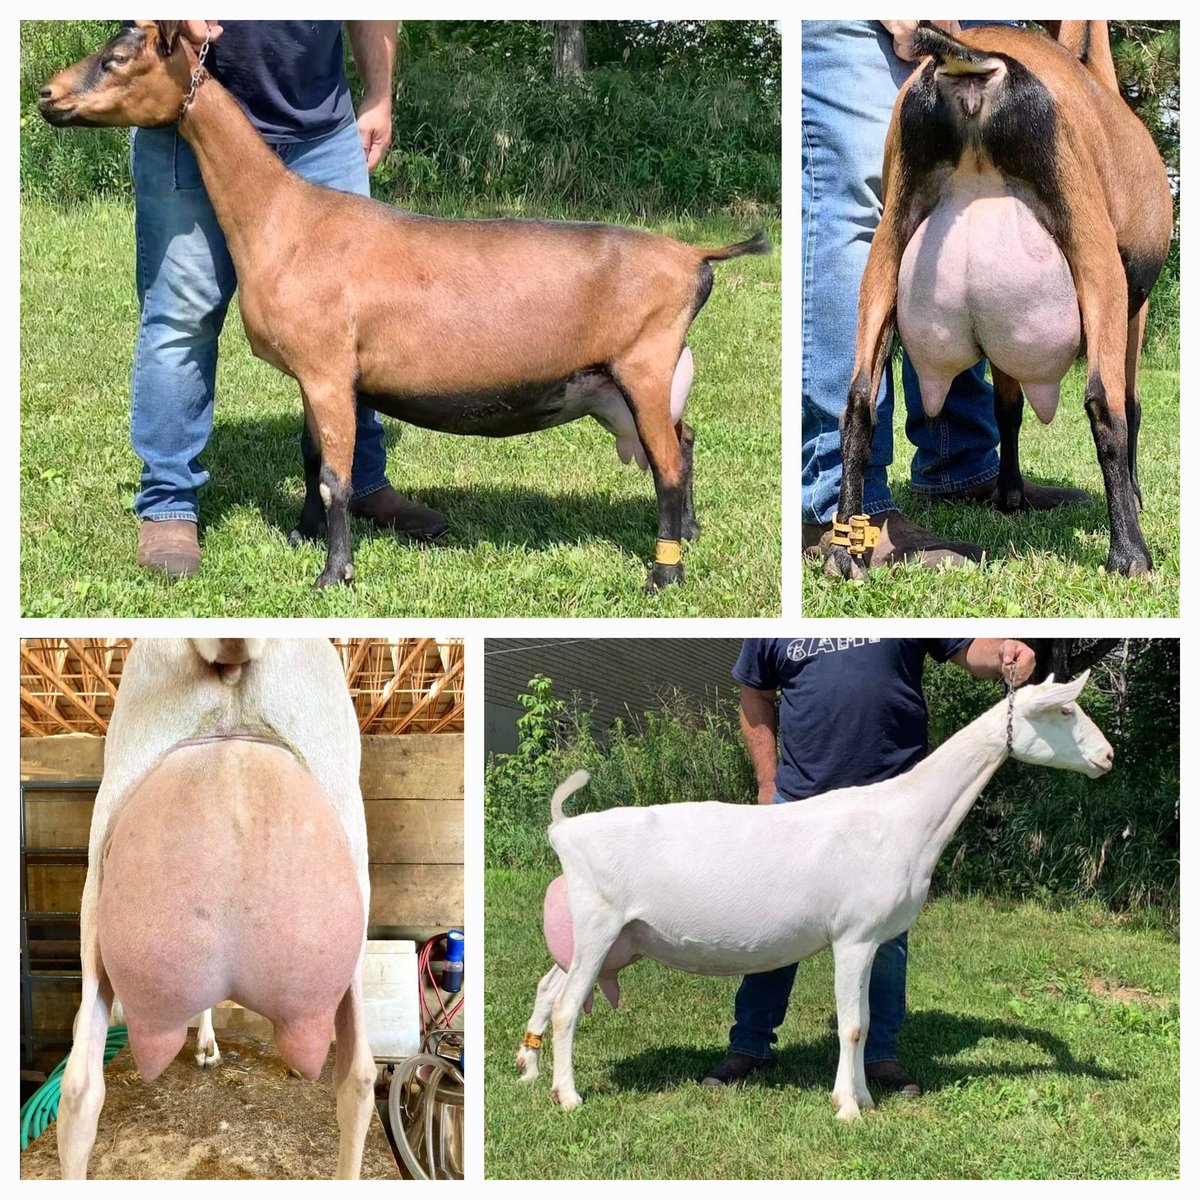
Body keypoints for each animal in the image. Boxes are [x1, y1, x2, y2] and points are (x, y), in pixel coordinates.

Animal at [38, 21, 770, 593]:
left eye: (116, 57)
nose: (46, 95)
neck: (284, 219)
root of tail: (693, 255)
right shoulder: (319, 375)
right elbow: (312, 461)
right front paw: (302, 539)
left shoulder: (327, 367)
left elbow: (335, 476)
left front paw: (334, 574)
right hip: (619, 383)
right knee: (685, 440)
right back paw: (692, 533)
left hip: (644, 363)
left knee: (668, 466)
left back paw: (665, 571)